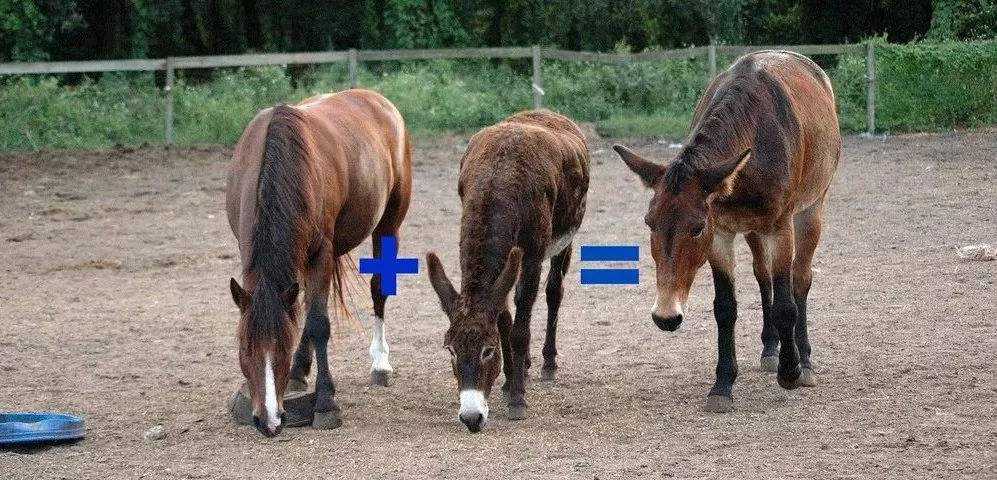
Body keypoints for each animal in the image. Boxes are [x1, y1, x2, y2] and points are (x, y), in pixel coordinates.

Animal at [226, 89, 411, 436]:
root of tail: (377, 100)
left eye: (282, 348)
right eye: (244, 346)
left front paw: (326, 402)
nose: (269, 421)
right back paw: (300, 371)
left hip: (388, 224)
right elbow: (305, 315)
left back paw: (380, 364)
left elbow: (318, 323)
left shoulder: (319, 255)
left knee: (378, 288)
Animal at [425, 110, 589, 432]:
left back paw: (547, 363)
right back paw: (523, 368)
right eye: (450, 350)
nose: (471, 418)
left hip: (565, 238)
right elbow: (504, 319)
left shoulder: (533, 256)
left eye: (488, 350)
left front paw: (517, 399)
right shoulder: (499, 273)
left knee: (554, 292)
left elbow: (520, 329)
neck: (498, 178)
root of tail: (547, 113)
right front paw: (510, 378)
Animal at [613, 50, 841, 412]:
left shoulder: (780, 228)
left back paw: (803, 361)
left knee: (800, 280)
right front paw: (722, 385)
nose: (666, 316)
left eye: (696, 228)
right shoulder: (721, 234)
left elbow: (786, 304)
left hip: (810, 211)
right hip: (753, 229)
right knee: (763, 276)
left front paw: (790, 371)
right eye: (649, 223)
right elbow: (725, 308)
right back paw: (770, 348)